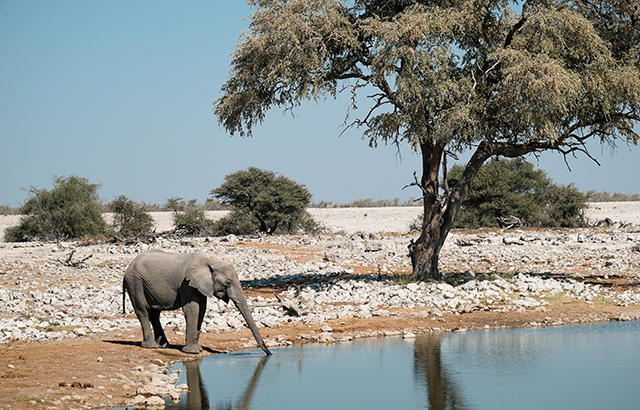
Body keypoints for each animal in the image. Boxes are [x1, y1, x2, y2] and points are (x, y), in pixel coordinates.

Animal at [122, 250, 270, 356]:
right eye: (227, 283)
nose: (269, 353)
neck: (211, 261)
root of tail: (127, 270)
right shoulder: (187, 284)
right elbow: (192, 309)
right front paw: (192, 352)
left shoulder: (201, 286)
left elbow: (202, 309)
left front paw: (197, 349)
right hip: (135, 283)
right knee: (143, 311)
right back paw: (151, 346)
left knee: (154, 314)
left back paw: (163, 346)